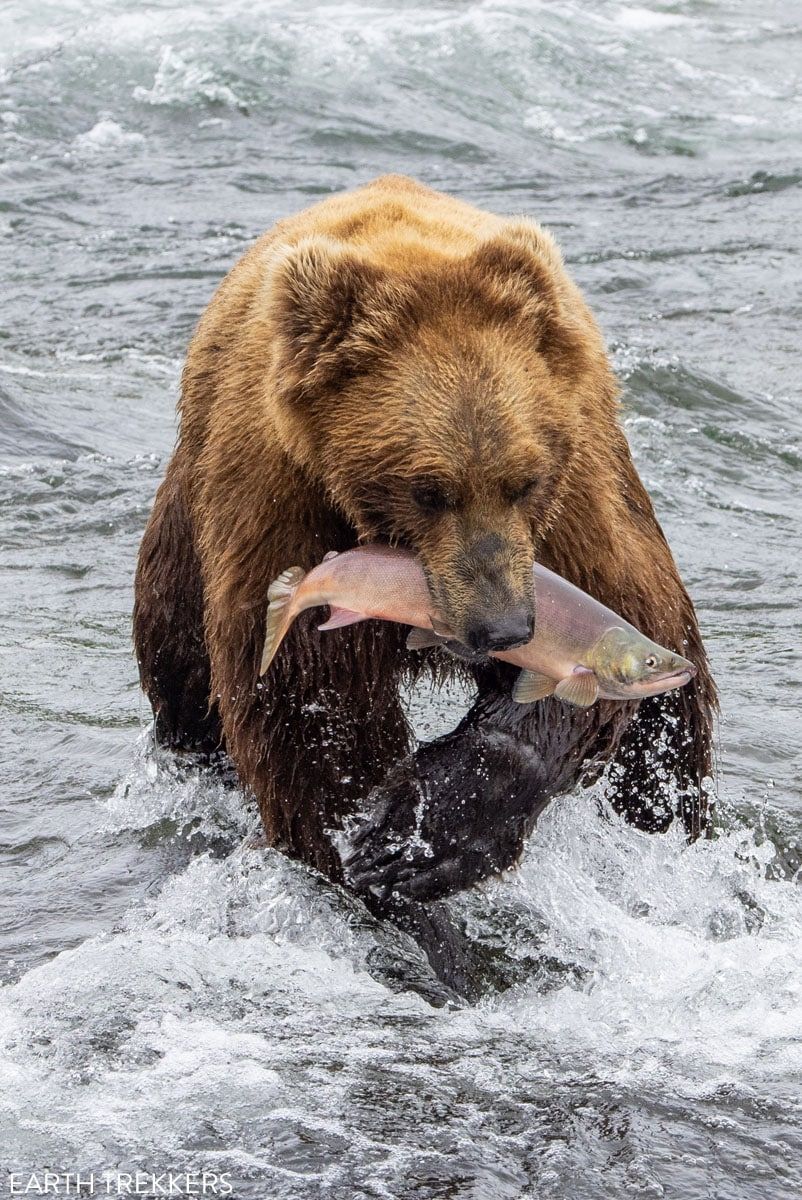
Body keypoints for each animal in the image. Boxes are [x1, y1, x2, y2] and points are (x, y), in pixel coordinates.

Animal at [131, 174, 715, 984]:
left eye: (524, 480)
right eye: (427, 488)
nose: (501, 628)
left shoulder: (574, 513)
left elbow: (580, 683)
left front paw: (431, 836)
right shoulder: (285, 503)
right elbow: (314, 711)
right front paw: (394, 876)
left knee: (668, 744)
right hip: (183, 545)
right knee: (187, 682)